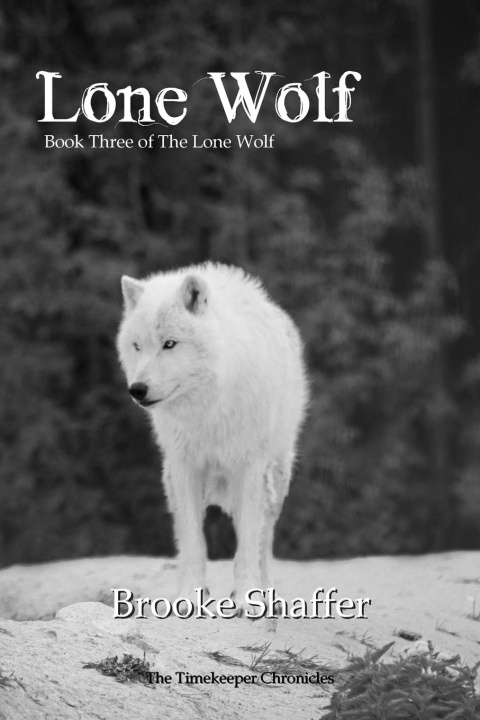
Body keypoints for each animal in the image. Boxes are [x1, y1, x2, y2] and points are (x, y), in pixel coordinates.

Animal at [117, 263, 308, 615]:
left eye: (169, 344)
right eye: (137, 346)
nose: (137, 390)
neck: (206, 407)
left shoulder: (249, 468)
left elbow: (247, 545)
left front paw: (247, 598)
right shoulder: (185, 468)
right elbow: (194, 544)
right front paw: (189, 597)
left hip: (276, 479)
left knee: (264, 543)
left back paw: (267, 592)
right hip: (172, 480)